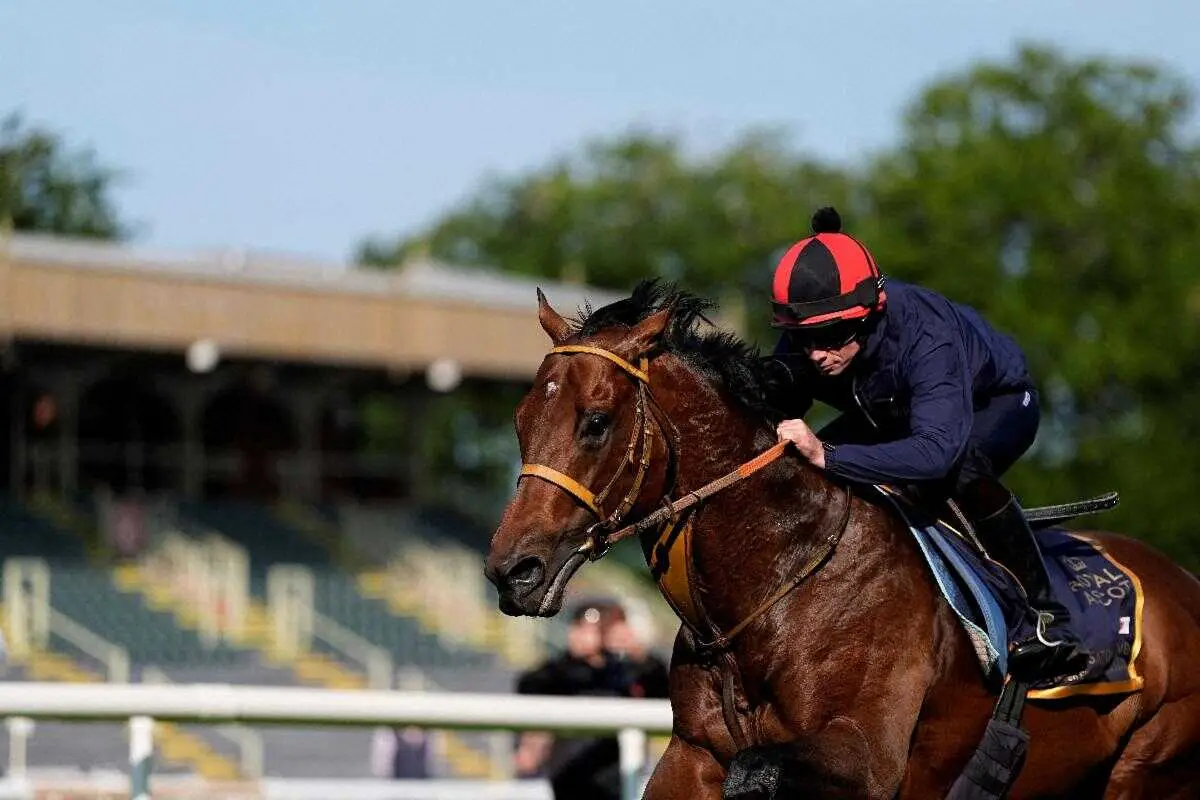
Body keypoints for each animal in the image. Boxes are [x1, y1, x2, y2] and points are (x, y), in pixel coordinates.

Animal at [484, 281, 1200, 798]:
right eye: (520, 421)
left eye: (595, 422)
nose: (512, 570)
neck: (780, 582)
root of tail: (1185, 585)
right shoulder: (692, 753)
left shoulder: (868, 755)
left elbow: (758, 768)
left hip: (1150, 766)